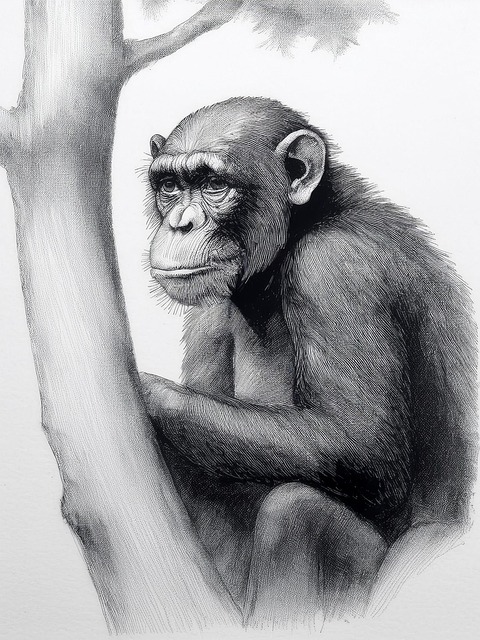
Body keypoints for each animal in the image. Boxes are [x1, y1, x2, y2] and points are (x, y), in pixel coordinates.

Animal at [139, 97, 477, 624]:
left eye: (213, 185)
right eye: (170, 186)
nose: (179, 223)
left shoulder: (337, 269)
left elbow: (361, 442)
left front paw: (146, 391)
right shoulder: (208, 318)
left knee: (298, 514)